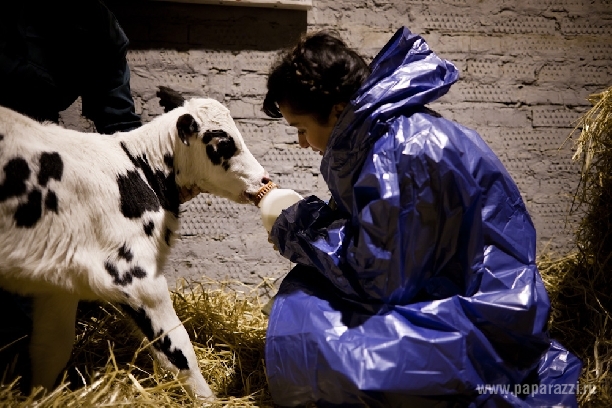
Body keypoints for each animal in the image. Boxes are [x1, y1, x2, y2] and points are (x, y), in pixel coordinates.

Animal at [0, 98, 268, 398]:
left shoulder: (61, 281)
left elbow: (51, 348)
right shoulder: (136, 275)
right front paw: (208, 400)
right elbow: (179, 349)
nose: (264, 179)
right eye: (223, 142)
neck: (140, 172)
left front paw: (39, 398)